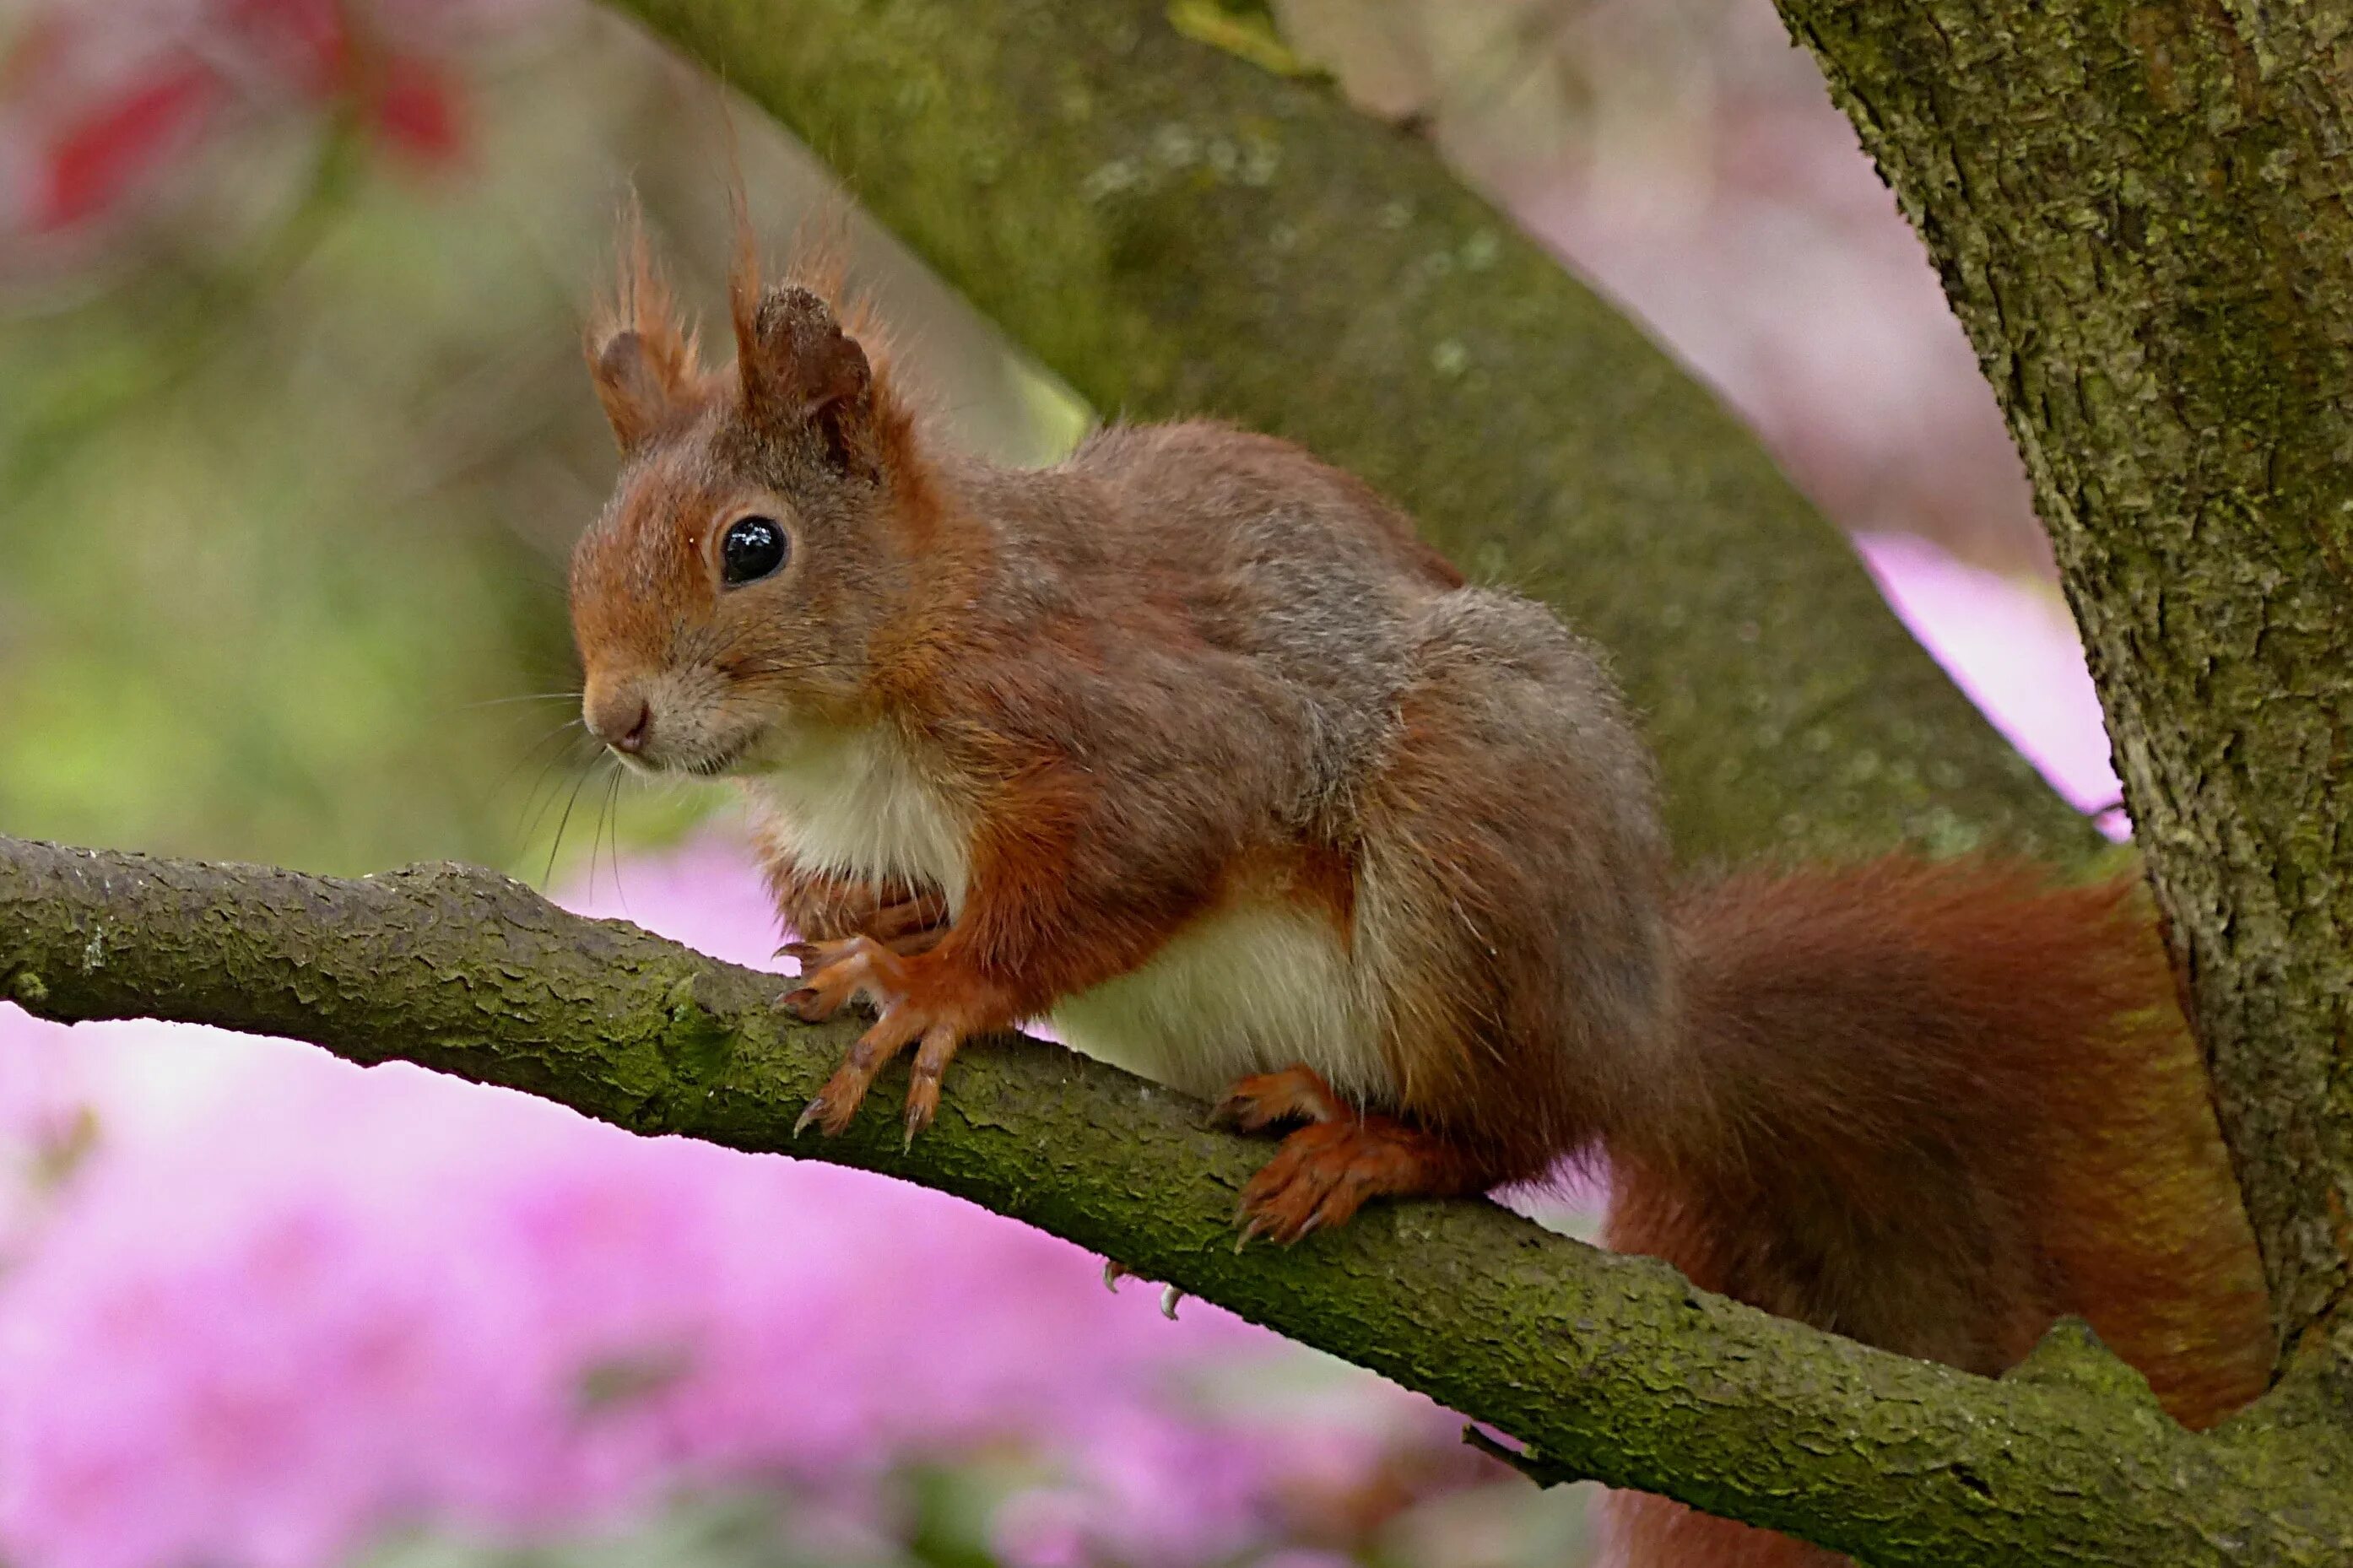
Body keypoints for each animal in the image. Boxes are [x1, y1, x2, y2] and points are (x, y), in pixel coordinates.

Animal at [560, 219, 2268, 1563]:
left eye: (754, 546)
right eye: (593, 546)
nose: (614, 720)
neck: (868, 709)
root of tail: (1642, 1015)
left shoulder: (1143, 738)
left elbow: (1105, 882)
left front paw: (939, 987)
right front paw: (884, 934)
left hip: (1470, 854)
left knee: (1519, 1124)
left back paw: (1374, 1139)